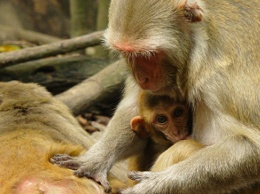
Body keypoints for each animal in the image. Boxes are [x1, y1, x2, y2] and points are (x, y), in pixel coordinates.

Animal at [51, 0, 260, 193]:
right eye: (127, 54)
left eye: (148, 55)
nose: (140, 77)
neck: (198, 47)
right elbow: (134, 111)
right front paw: (93, 162)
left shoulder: (222, 80)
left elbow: (252, 146)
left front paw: (151, 186)